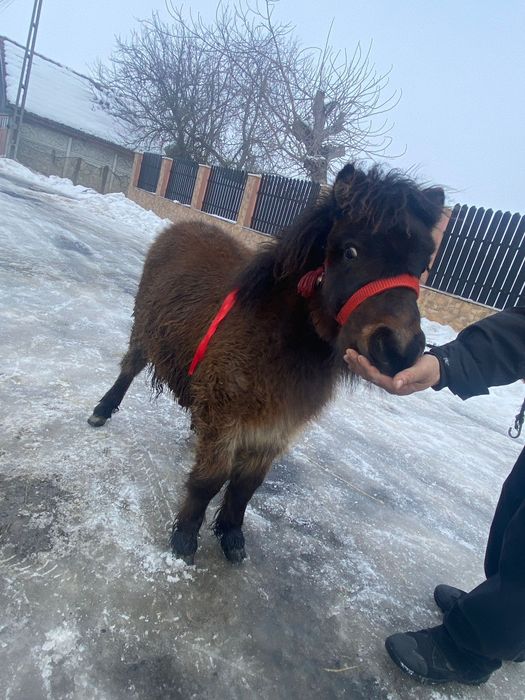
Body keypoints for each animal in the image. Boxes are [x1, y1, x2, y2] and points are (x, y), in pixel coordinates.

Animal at [88, 163, 444, 565]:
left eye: (423, 264)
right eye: (350, 251)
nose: (400, 349)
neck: (278, 341)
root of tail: (181, 226)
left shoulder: (275, 428)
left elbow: (246, 486)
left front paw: (231, 536)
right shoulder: (228, 415)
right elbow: (210, 480)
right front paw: (184, 539)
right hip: (143, 332)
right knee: (128, 369)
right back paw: (102, 410)